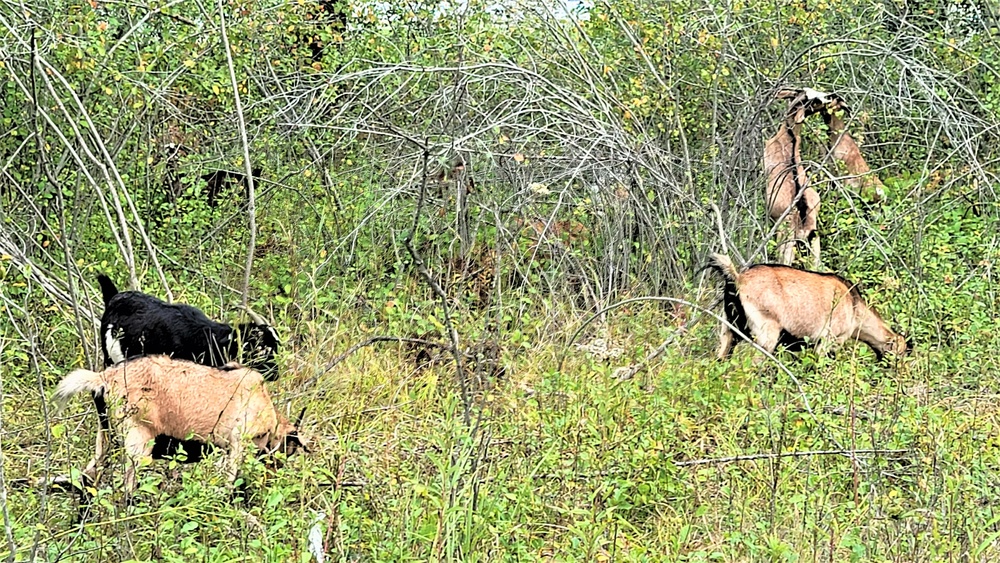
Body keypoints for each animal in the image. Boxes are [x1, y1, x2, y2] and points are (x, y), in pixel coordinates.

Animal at [53, 356, 304, 494]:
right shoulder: (236, 444)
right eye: (289, 449)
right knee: (127, 486)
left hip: (105, 434)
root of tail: (104, 378)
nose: (272, 476)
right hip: (138, 438)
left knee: (88, 475)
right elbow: (229, 482)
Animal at [708, 252, 912, 362]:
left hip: (729, 329)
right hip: (766, 334)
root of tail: (738, 279)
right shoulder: (829, 340)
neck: (854, 306)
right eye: (900, 353)